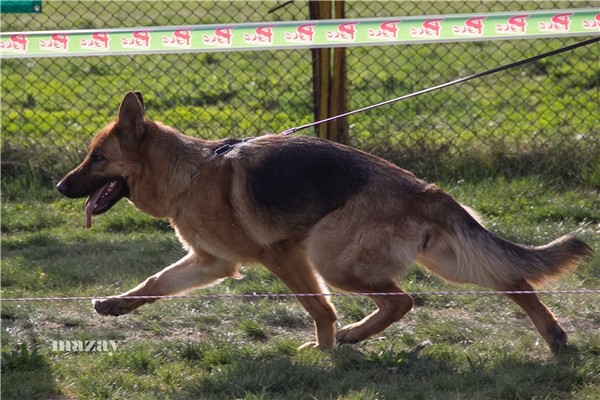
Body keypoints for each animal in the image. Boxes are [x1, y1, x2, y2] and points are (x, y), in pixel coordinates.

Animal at [57, 91, 592, 352]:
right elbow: (153, 283)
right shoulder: (211, 262)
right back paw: (554, 337)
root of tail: (423, 189)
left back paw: (355, 335)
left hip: (332, 259)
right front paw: (115, 305)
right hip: (446, 260)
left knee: (402, 300)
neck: (191, 172)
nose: (60, 188)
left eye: (96, 158)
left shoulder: (284, 257)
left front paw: (325, 349)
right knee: (514, 280)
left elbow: (318, 308)